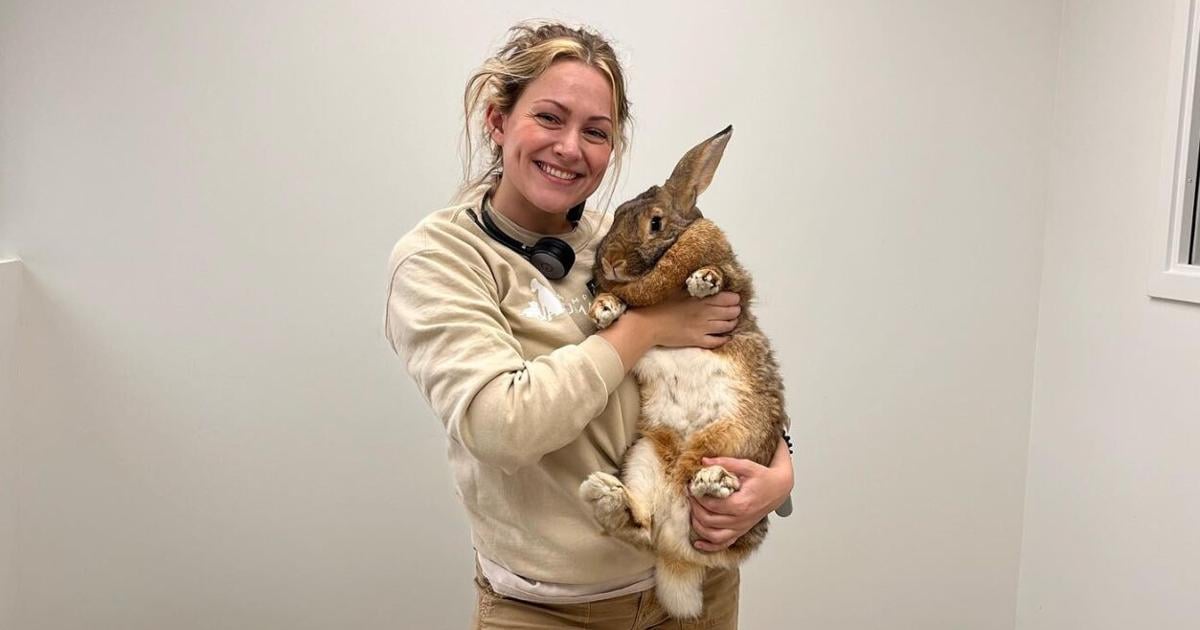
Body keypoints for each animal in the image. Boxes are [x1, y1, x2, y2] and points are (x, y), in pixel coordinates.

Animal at [579, 125, 788, 619]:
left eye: (655, 223)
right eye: (616, 214)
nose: (611, 261)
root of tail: (676, 558)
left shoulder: (738, 287)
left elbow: (723, 276)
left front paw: (701, 281)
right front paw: (604, 309)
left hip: (736, 458)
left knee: (723, 539)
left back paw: (713, 482)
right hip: (644, 457)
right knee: (642, 525)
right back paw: (606, 496)